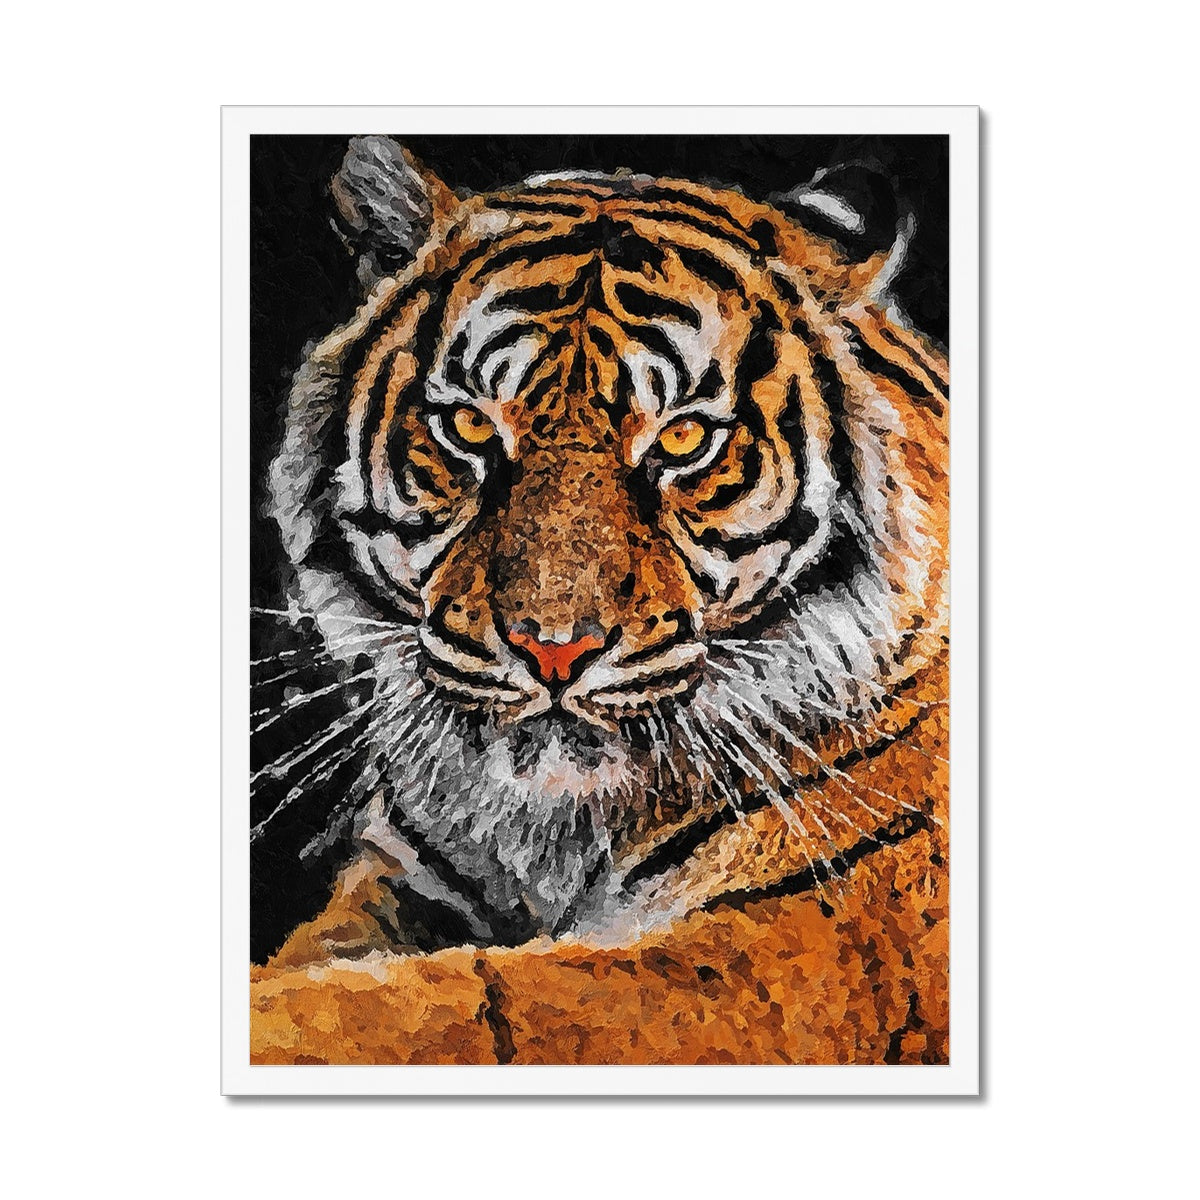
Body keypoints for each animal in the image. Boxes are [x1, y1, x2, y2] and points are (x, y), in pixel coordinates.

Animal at [251, 136, 949, 1065]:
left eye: (683, 438)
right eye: (469, 428)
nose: (554, 650)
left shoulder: (773, 947)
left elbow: (450, 1007)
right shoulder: (396, 878)